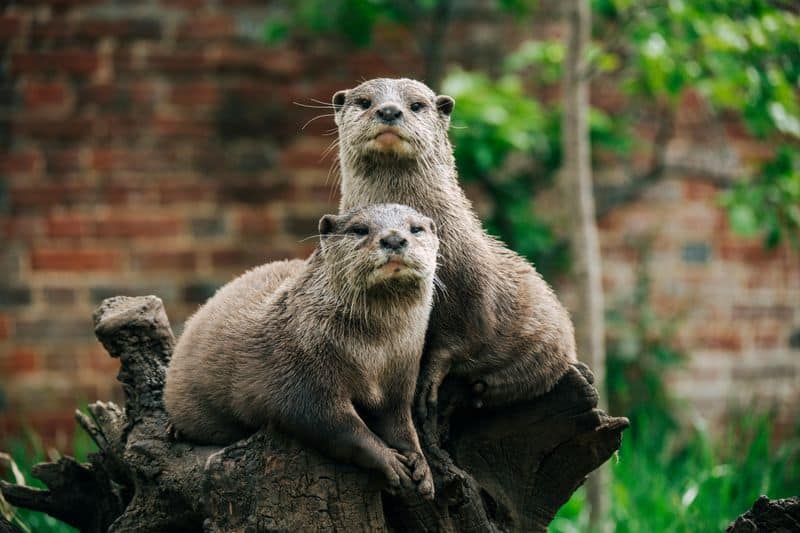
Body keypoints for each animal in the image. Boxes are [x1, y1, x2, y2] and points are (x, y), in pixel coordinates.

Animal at [164, 202, 438, 496]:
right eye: (359, 229)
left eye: (416, 228)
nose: (394, 238)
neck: (373, 355)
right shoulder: (301, 375)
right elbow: (335, 425)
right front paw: (388, 460)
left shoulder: (401, 378)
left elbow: (400, 423)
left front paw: (420, 465)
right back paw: (175, 430)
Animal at [332, 79, 576, 420]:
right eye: (365, 102)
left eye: (416, 105)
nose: (389, 110)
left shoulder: (469, 286)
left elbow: (457, 338)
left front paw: (426, 388)